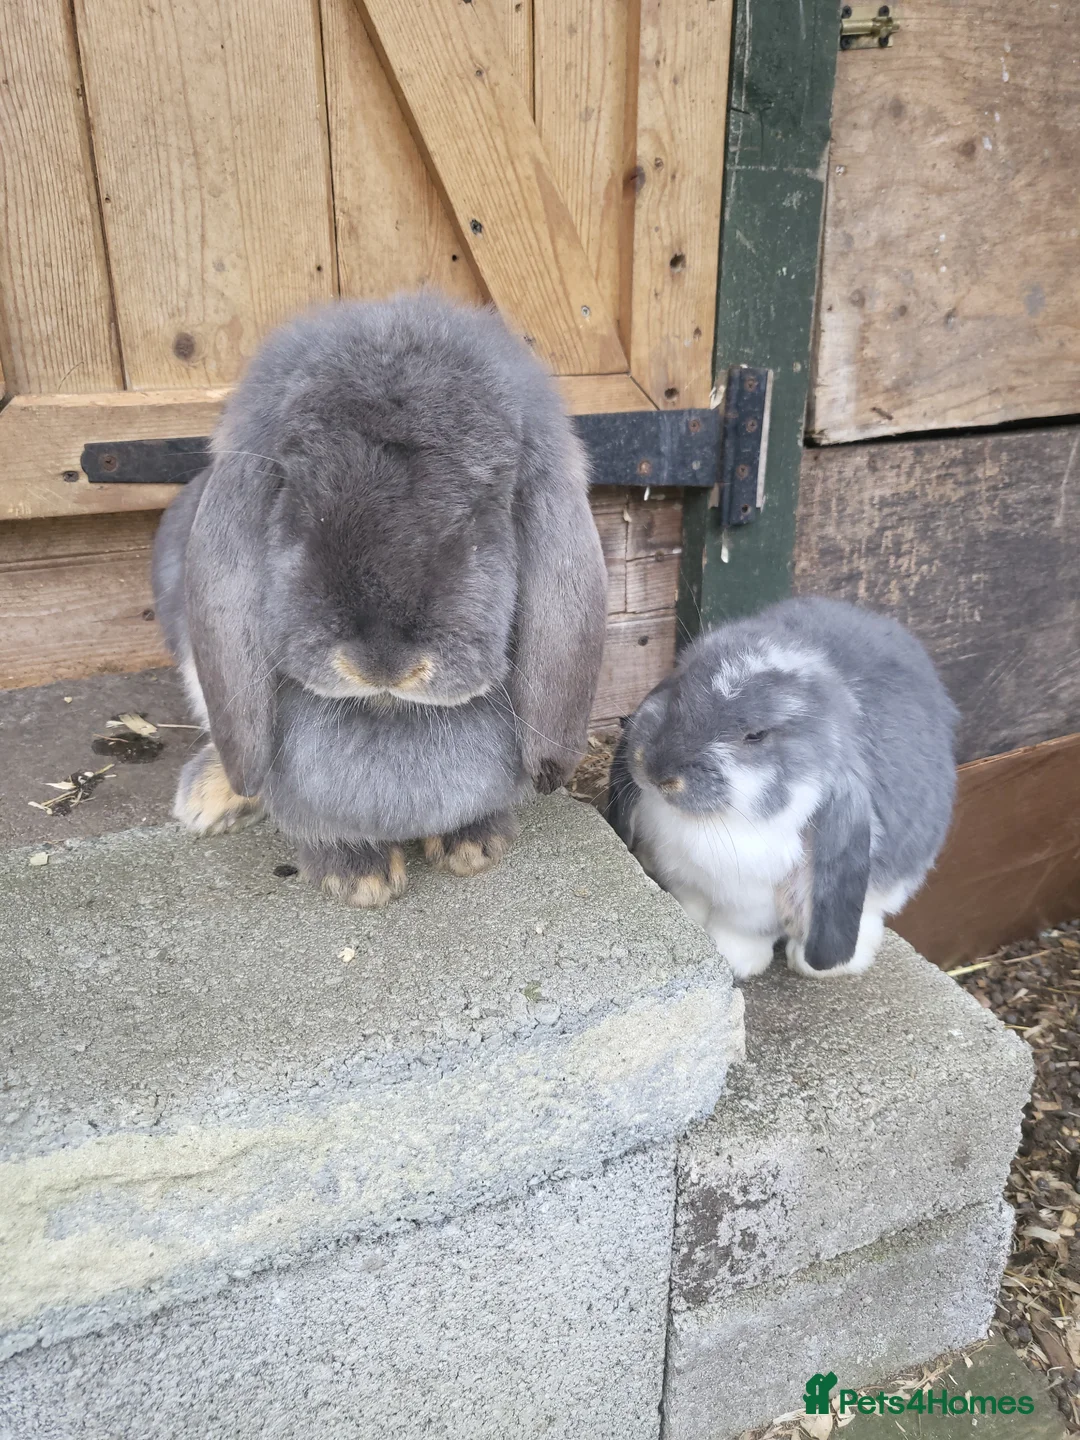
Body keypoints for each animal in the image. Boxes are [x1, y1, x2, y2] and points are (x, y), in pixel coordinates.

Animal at [152, 293, 607, 906]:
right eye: (294, 496)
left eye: (484, 508)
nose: (383, 661)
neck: (391, 712)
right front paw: (357, 878)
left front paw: (473, 847)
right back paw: (210, 796)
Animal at [606, 597, 958, 978]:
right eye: (679, 689)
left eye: (756, 735)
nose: (657, 771)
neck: (714, 823)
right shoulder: (686, 879)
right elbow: (689, 903)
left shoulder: (754, 905)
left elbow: (743, 932)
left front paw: (736, 961)